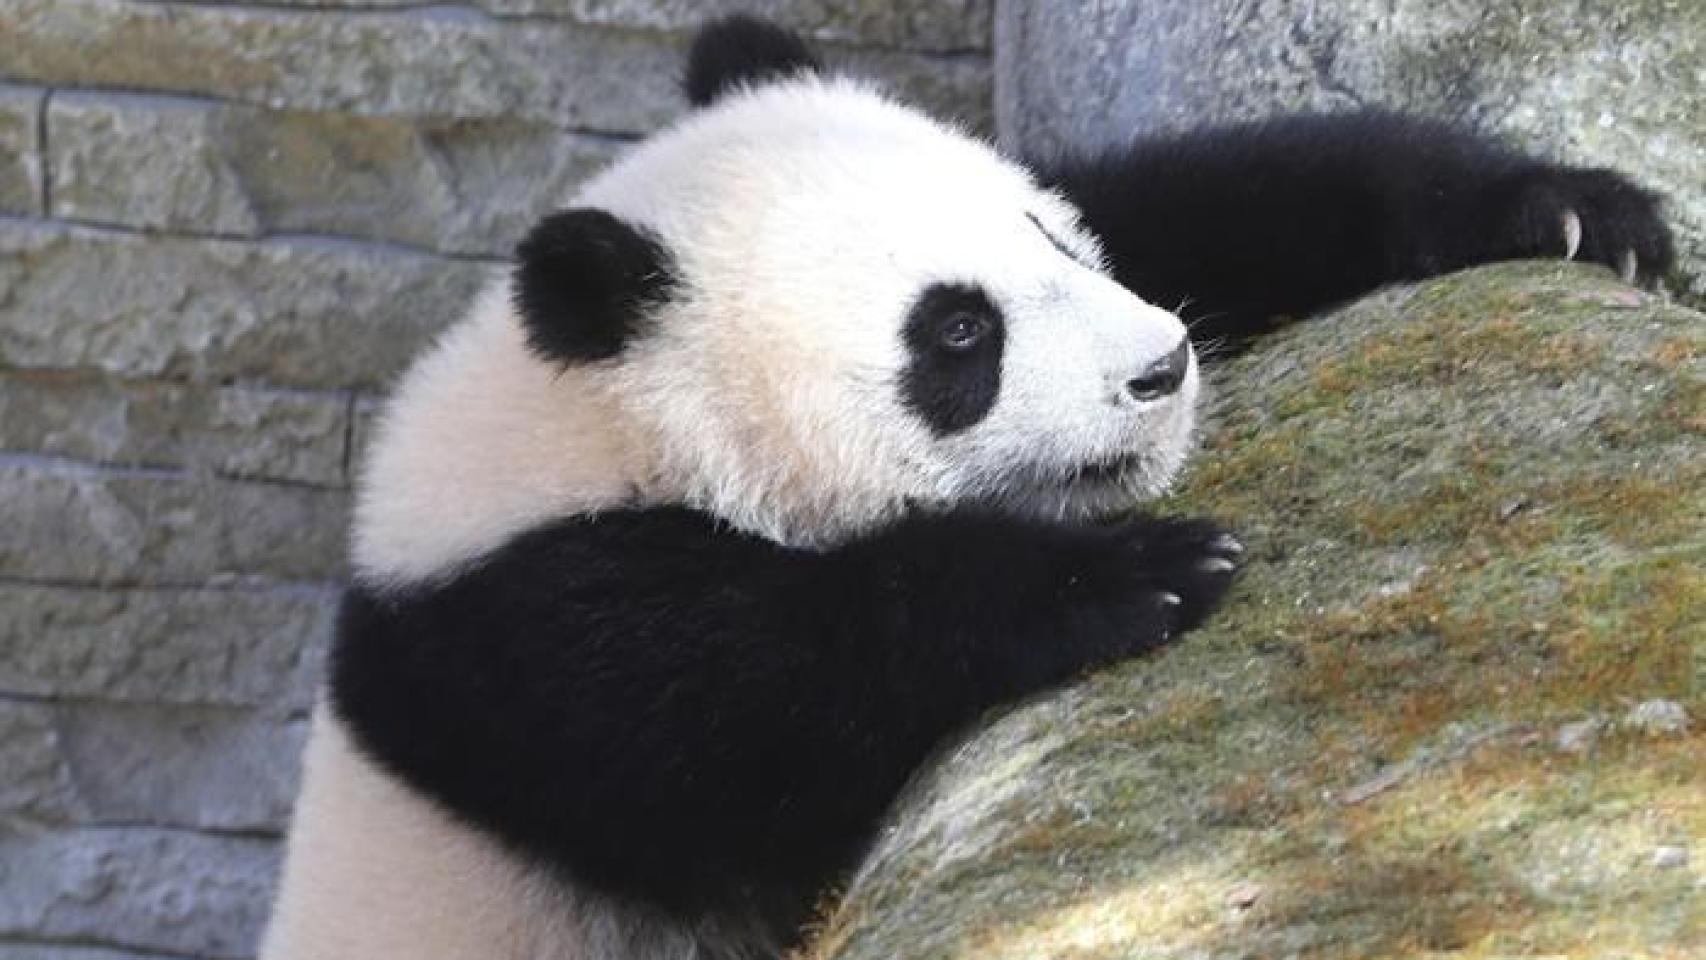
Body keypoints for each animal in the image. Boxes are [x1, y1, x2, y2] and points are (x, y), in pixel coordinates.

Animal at [261, 15, 1671, 960]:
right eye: (955, 336)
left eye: (1046, 238)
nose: (1161, 368)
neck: (591, 420)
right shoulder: (521, 644)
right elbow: (766, 688)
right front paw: (1131, 573)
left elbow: (1210, 196)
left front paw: (1563, 210)